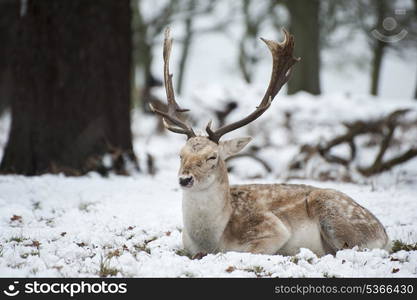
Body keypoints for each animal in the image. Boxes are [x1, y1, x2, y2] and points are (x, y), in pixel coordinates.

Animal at [150, 28, 390, 256]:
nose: (185, 179)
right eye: (180, 154)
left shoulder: (273, 228)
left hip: (337, 217)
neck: (211, 240)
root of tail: (384, 234)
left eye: (212, 156)